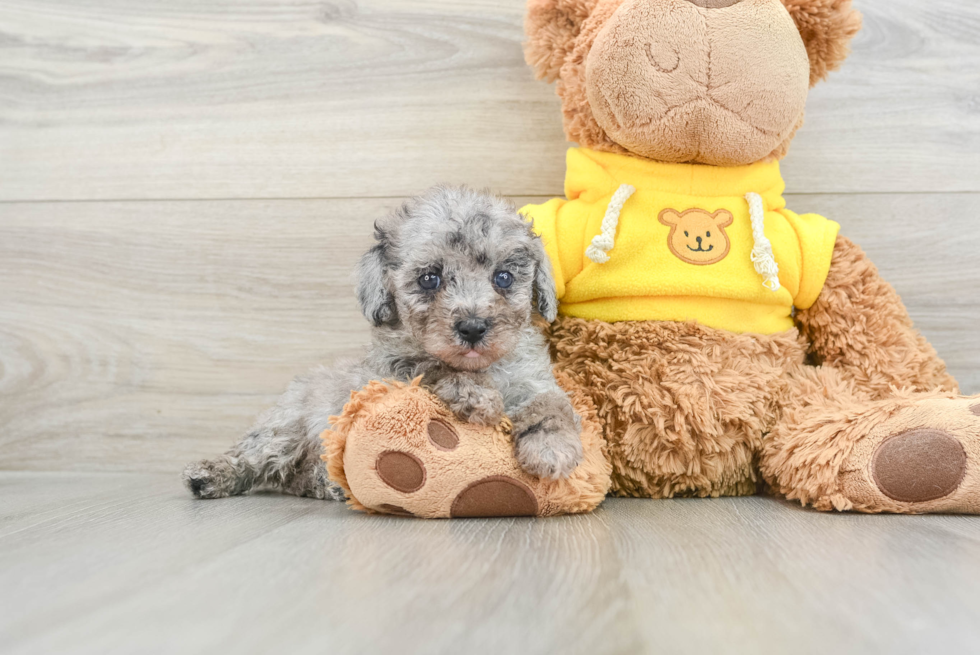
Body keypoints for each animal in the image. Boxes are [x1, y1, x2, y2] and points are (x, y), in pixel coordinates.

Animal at [183, 186, 580, 502]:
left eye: (504, 277)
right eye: (429, 279)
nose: (472, 328)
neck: (484, 367)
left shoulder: (532, 381)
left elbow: (551, 406)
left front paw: (552, 447)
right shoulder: (392, 372)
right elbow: (432, 364)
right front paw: (475, 395)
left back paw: (327, 484)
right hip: (284, 428)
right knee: (253, 458)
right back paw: (209, 475)